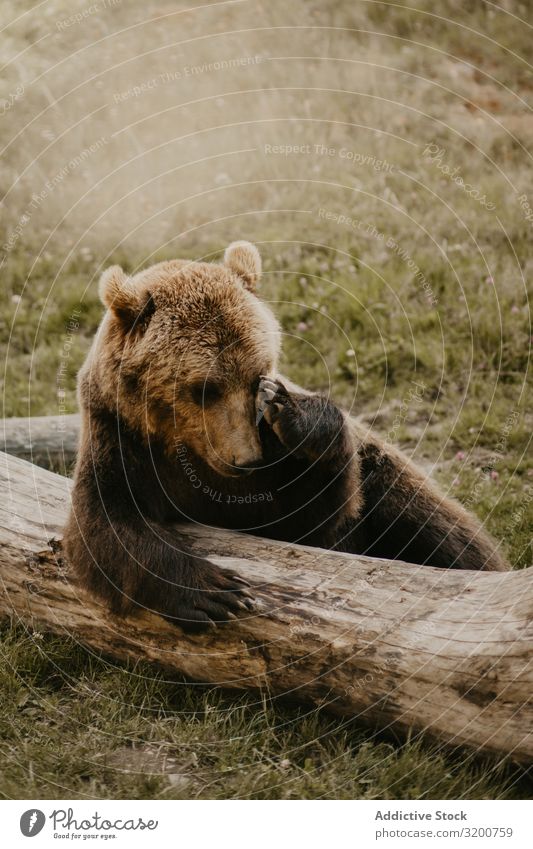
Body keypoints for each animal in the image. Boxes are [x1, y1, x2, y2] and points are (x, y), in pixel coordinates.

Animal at [62, 238, 508, 628]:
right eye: (204, 387)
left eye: (255, 376)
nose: (245, 459)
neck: (183, 447)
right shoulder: (121, 439)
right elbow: (109, 526)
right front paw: (216, 591)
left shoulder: (272, 468)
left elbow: (304, 517)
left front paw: (296, 416)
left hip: (391, 481)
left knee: (442, 529)